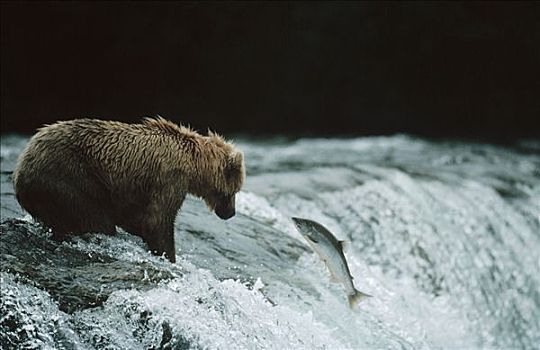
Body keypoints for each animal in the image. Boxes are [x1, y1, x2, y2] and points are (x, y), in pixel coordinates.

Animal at [13, 117, 245, 262]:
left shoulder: (131, 191)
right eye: (234, 191)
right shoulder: (169, 179)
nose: (230, 213)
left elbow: (136, 217)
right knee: (95, 217)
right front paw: (169, 256)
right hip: (68, 176)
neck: (194, 165)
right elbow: (157, 221)